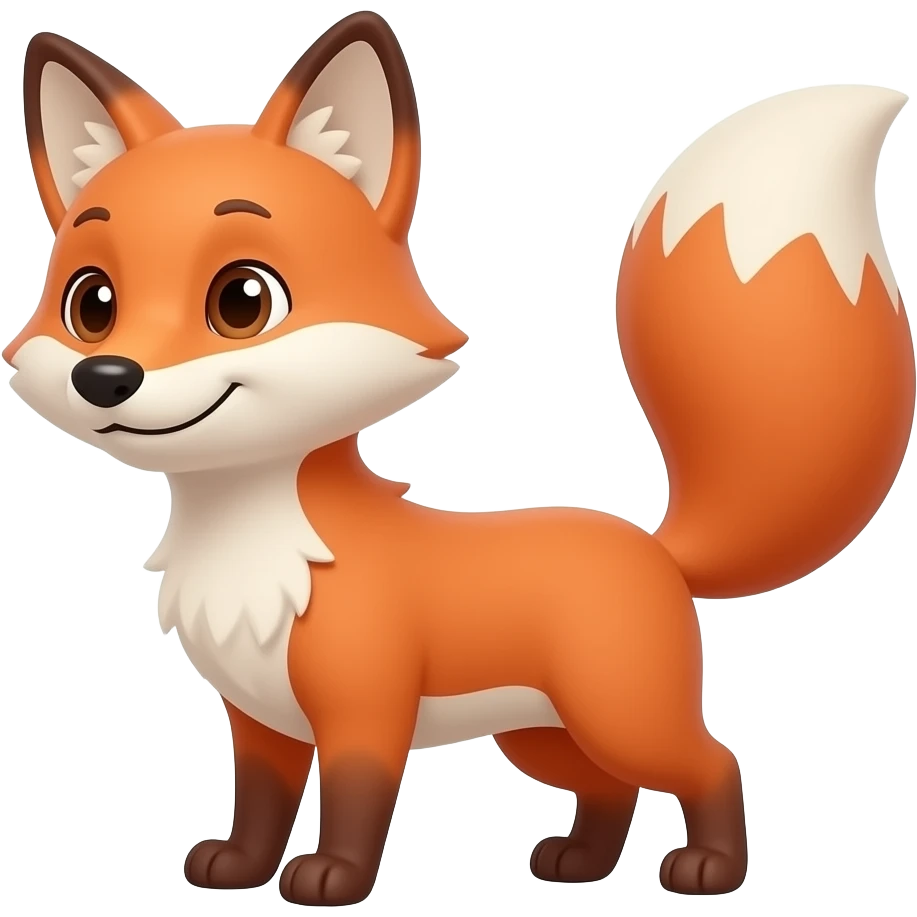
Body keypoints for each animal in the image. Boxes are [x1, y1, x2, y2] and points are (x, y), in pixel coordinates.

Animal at [5, 12, 914, 906]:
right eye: (91, 304)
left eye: (243, 300)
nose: (106, 377)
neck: (255, 542)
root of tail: (655, 546)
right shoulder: (258, 719)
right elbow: (260, 803)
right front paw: (236, 867)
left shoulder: (365, 708)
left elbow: (355, 800)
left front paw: (332, 880)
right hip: (541, 733)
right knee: (609, 788)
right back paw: (578, 864)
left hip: (619, 711)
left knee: (712, 761)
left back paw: (711, 869)